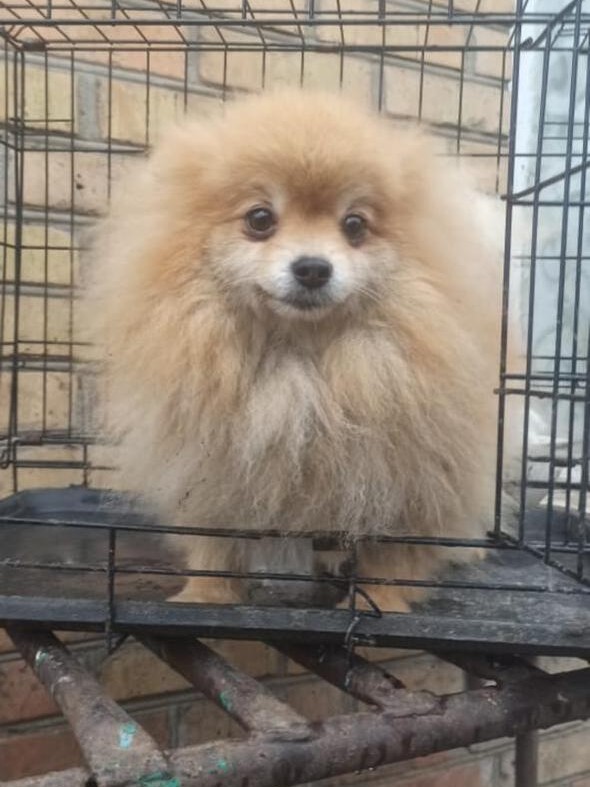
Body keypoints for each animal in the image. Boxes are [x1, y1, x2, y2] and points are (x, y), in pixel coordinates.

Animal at [87, 90, 510, 612]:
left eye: (354, 225)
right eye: (260, 219)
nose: (312, 268)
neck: (299, 360)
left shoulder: (411, 481)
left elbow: (391, 557)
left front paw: (380, 604)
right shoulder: (212, 474)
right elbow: (216, 544)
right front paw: (207, 595)